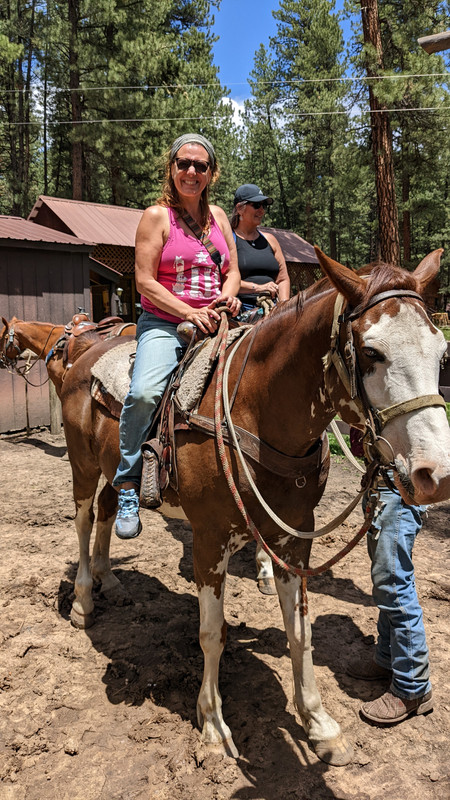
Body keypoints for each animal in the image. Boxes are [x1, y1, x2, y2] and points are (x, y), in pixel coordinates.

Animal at [3, 252, 450, 768]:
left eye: (441, 353)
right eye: (373, 352)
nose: (436, 474)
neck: (256, 409)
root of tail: (83, 355)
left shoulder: (292, 538)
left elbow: (301, 632)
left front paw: (319, 725)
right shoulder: (209, 540)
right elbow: (211, 633)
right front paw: (214, 726)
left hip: (115, 470)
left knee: (108, 512)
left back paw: (107, 578)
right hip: (82, 463)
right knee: (82, 520)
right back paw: (82, 601)